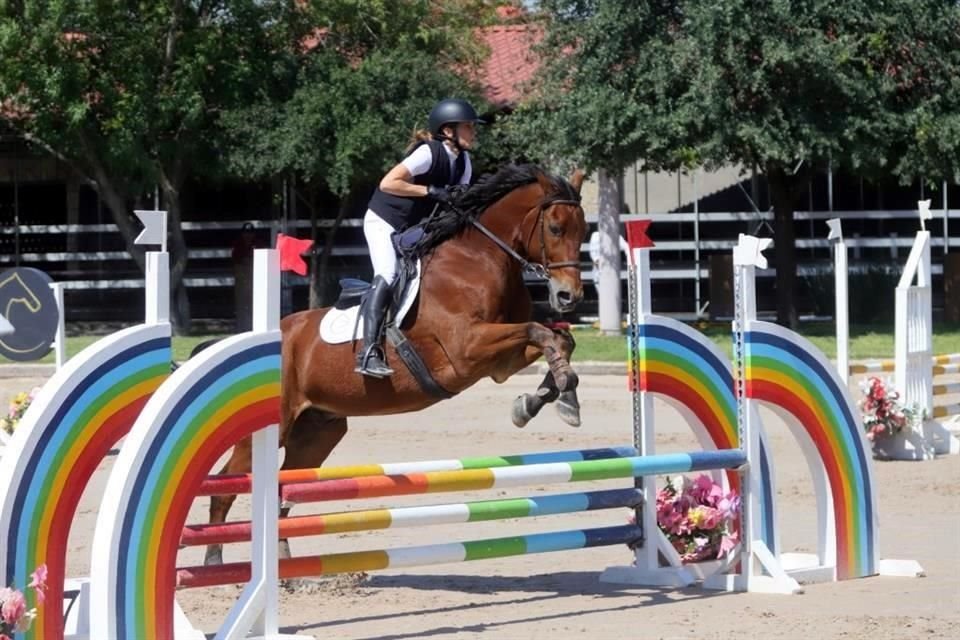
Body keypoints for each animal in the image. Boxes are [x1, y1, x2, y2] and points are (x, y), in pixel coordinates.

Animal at [206, 164, 588, 564]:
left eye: (583, 230)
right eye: (555, 228)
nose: (569, 296)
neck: (478, 259)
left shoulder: (500, 363)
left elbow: (560, 340)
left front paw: (548, 401)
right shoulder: (468, 347)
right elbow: (539, 331)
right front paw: (560, 393)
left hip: (316, 434)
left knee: (285, 487)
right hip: (272, 430)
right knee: (226, 487)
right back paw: (215, 560)